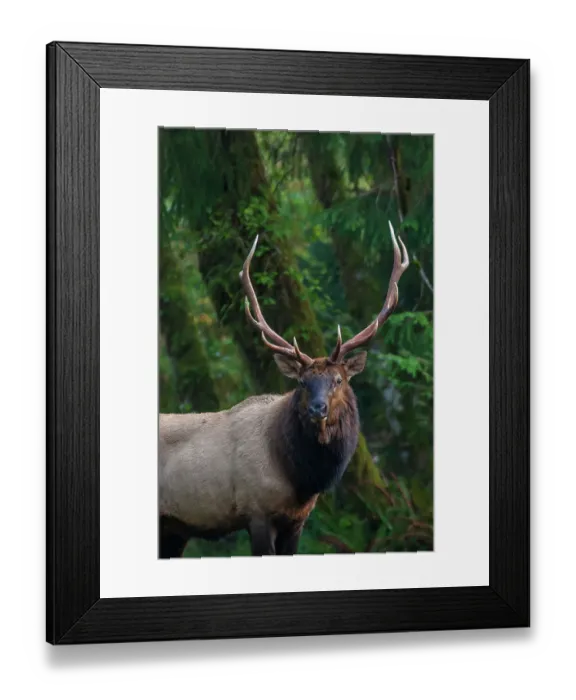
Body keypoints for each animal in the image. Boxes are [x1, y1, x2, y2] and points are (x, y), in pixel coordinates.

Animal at [158, 222, 409, 558]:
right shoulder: (256, 510)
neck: (299, 479)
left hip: (174, 530)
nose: (318, 408)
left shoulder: (297, 520)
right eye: (302, 382)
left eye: (338, 380)